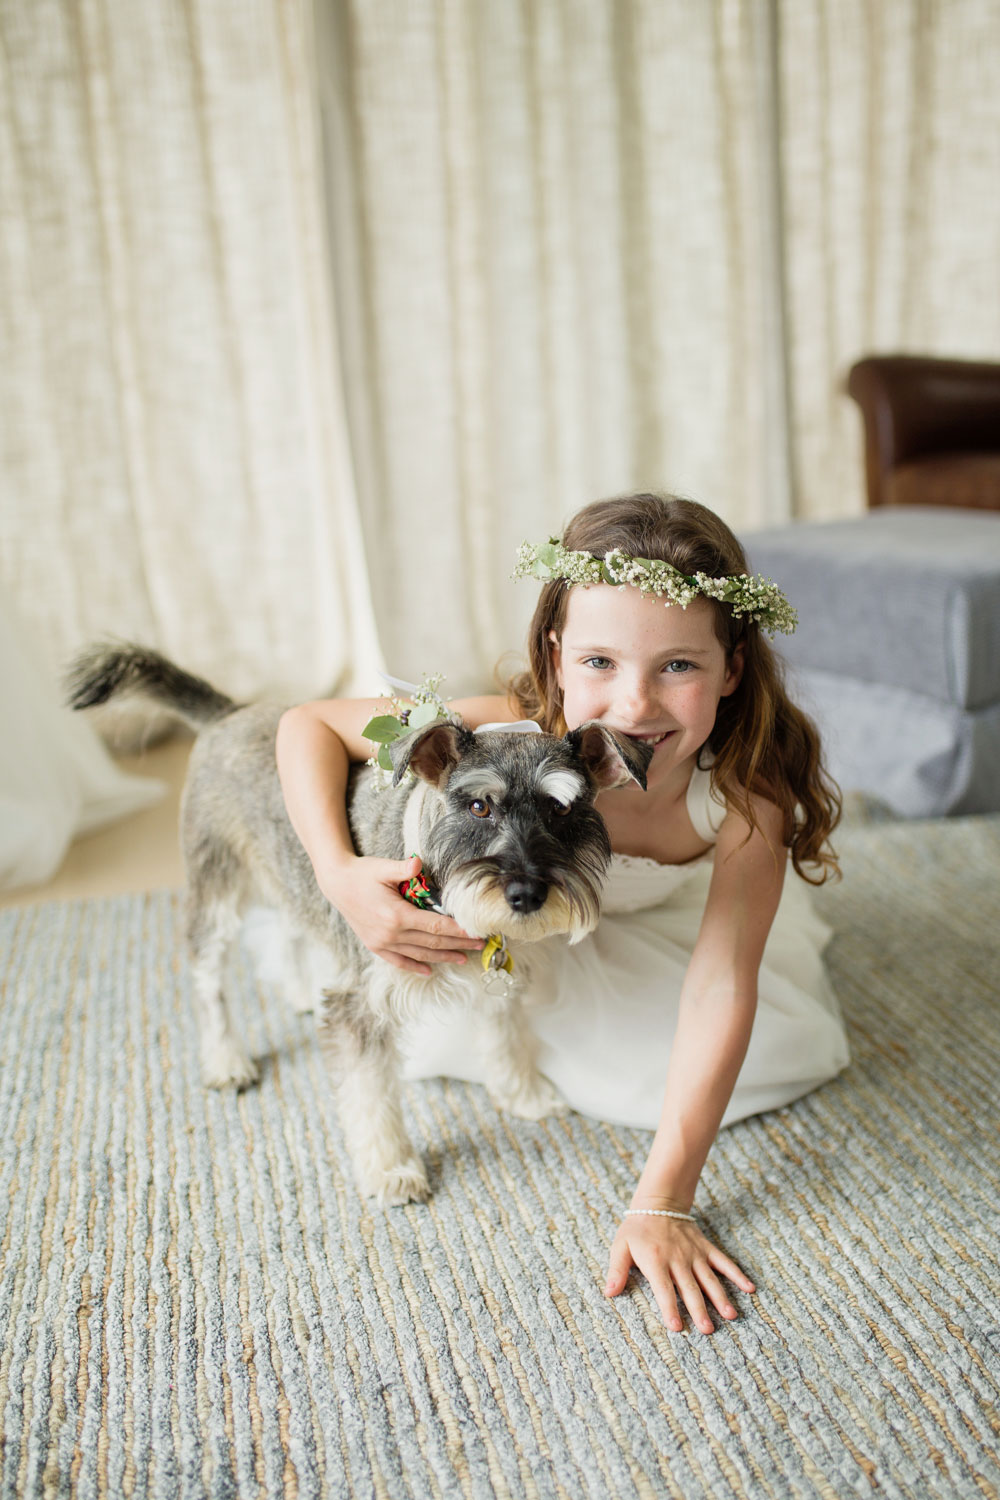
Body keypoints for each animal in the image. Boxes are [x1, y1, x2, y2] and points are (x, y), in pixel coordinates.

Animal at [68, 648, 650, 1206]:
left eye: (560, 810)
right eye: (479, 806)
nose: (526, 894)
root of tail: (231, 712)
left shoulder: (498, 978)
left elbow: (506, 1038)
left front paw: (523, 1095)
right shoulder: (361, 1008)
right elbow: (371, 1093)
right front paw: (392, 1170)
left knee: (292, 926)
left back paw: (300, 991)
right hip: (215, 889)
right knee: (209, 980)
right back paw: (227, 1060)